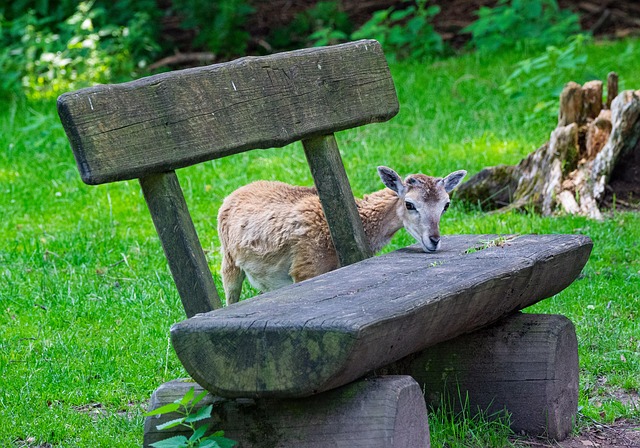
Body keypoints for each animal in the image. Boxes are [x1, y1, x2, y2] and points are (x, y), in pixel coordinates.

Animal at [217, 166, 467, 304]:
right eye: (409, 204)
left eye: (446, 205)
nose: (434, 240)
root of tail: (232, 195)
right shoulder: (306, 268)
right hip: (228, 261)